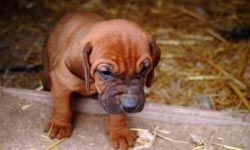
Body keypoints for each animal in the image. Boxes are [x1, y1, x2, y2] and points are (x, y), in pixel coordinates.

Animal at [42, 11, 160, 149]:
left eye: (144, 69)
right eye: (105, 72)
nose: (130, 106)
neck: (93, 81)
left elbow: (118, 114)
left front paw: (120, 133)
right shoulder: (61, 82)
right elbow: (61, 106)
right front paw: (59, 125)